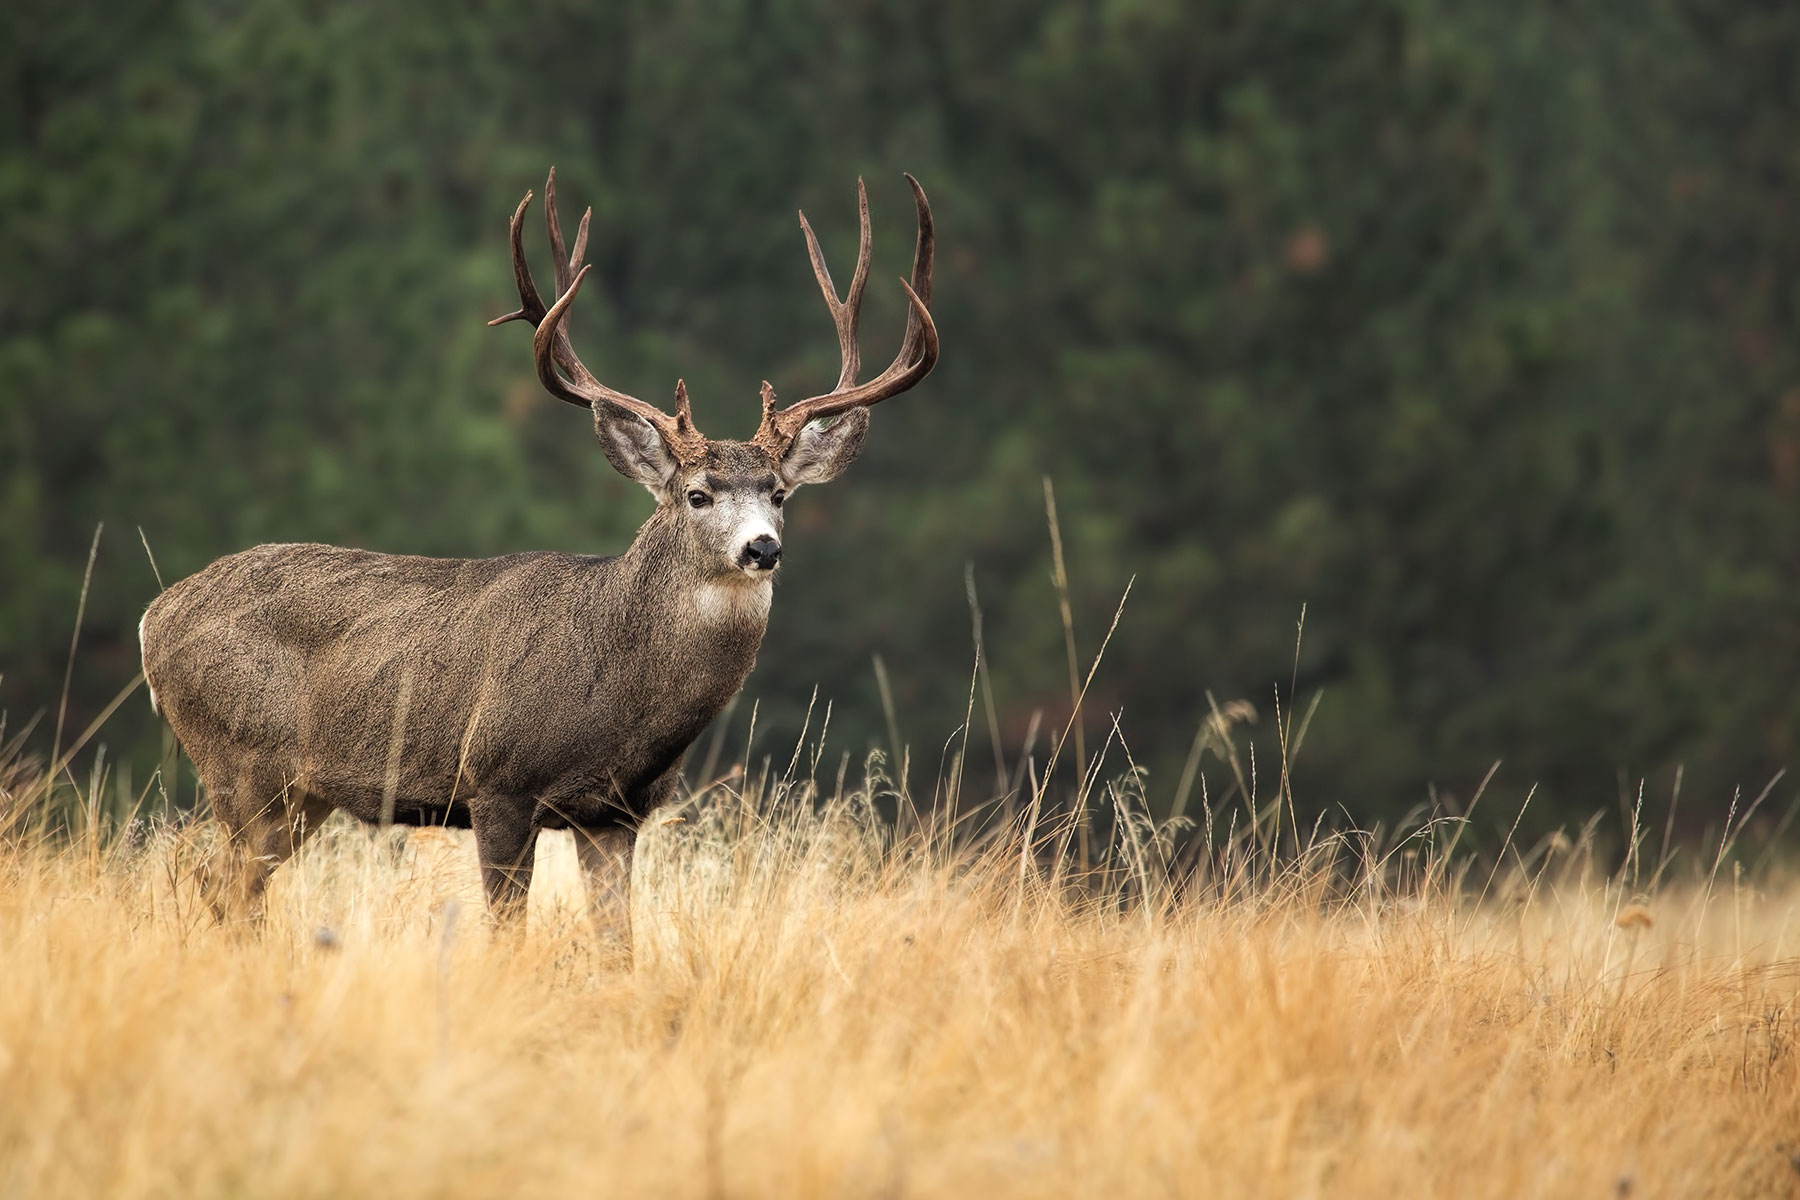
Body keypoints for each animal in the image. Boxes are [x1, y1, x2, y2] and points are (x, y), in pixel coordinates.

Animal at [138, 169, 937, 955]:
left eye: (778, 492)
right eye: (698, 494)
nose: (762, 547)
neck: (620, 691)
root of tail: (155, 617)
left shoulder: (617, 813)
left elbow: (618, 944)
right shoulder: (496, 783)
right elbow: (506, 933)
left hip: (297, 794)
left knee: (231, 887)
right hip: (240, 761)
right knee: (223, 883)